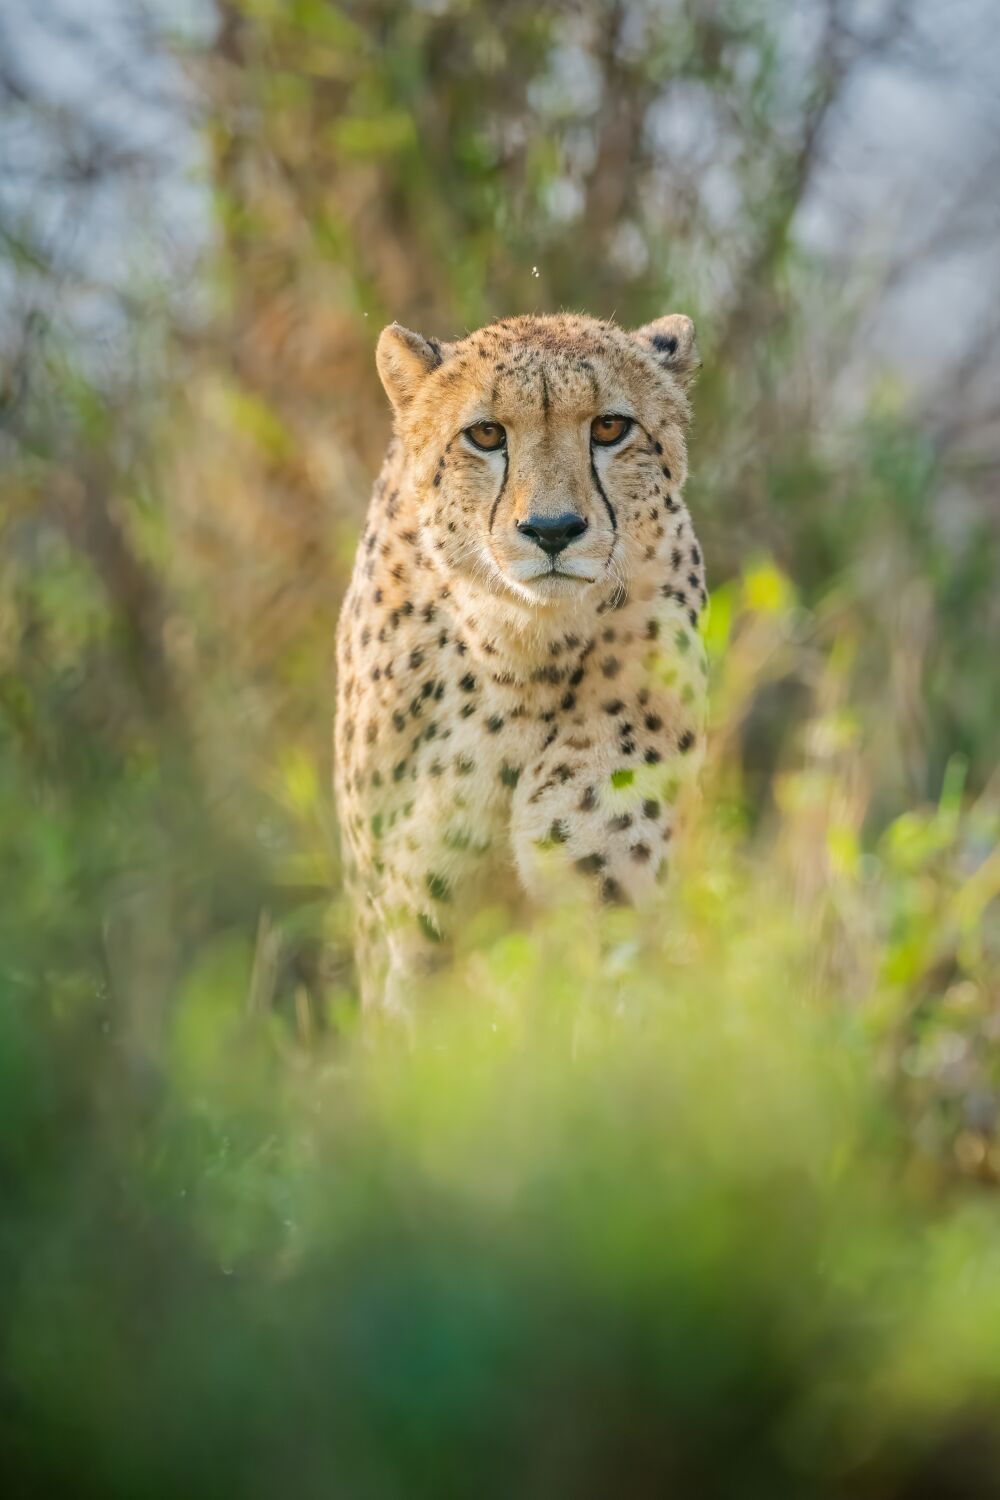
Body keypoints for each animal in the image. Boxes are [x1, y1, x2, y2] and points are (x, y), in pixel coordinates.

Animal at [338, 312, 710, 1014]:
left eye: (610, 427)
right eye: (486, 434)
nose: (553, 529)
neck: (521, 655)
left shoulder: (609, 889)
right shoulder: (411, 925)